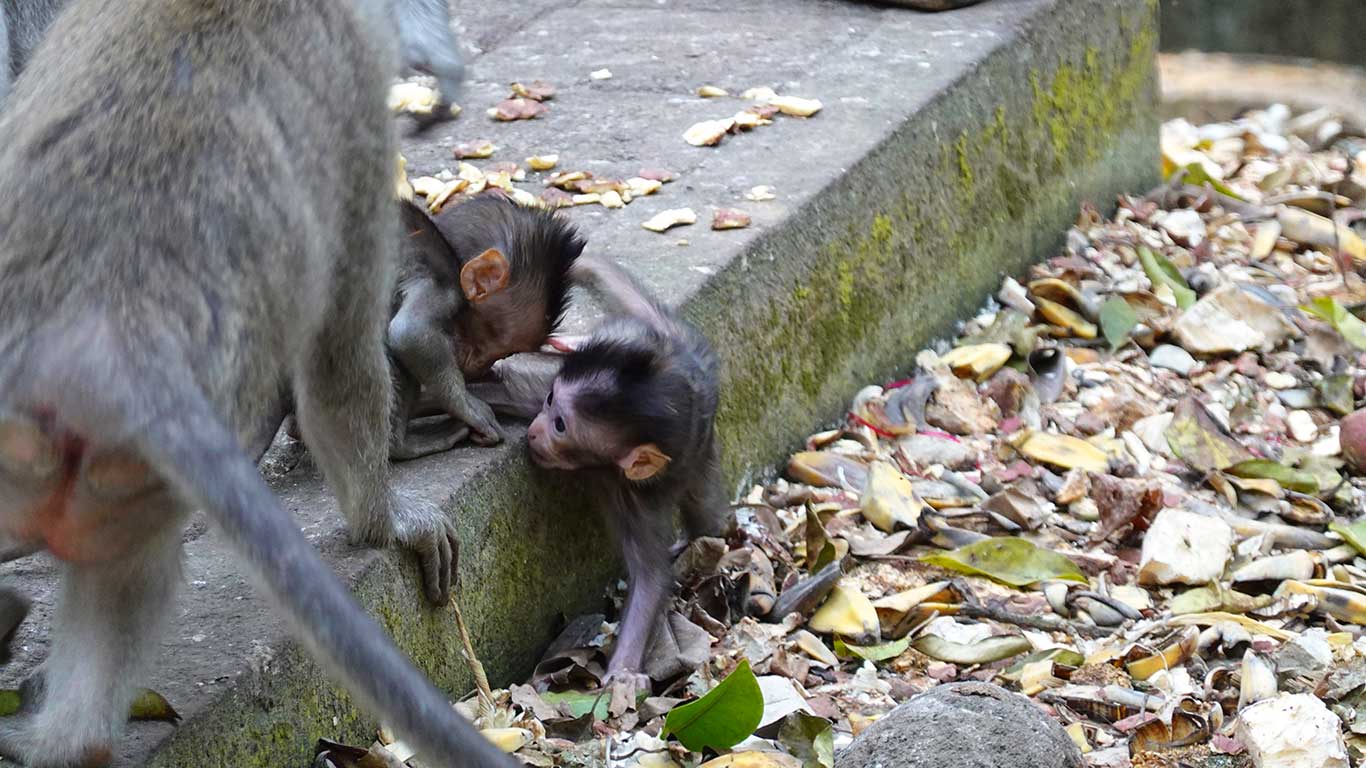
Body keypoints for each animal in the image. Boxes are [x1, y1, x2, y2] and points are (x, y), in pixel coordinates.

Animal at [0, 0, 515, 765]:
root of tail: (104, 332)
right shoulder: (359, 99)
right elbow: (338, 358)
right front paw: (388, 522)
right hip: (126, 470)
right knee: (138, 566)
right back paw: (71, 738)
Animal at [387, 195, 584, 459]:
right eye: (488, 346)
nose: (481, 370)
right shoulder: (440, 283)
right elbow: (409, 333)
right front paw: (471, 409)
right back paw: (403, 446)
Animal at [481, 255, 735, 689]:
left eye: (560, 425)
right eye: (550, 401)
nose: (534, 431)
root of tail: (682, 354)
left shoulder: (633, 493)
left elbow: (650, 575)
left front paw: (624, 670)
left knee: (708, 519)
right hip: (648, 337)